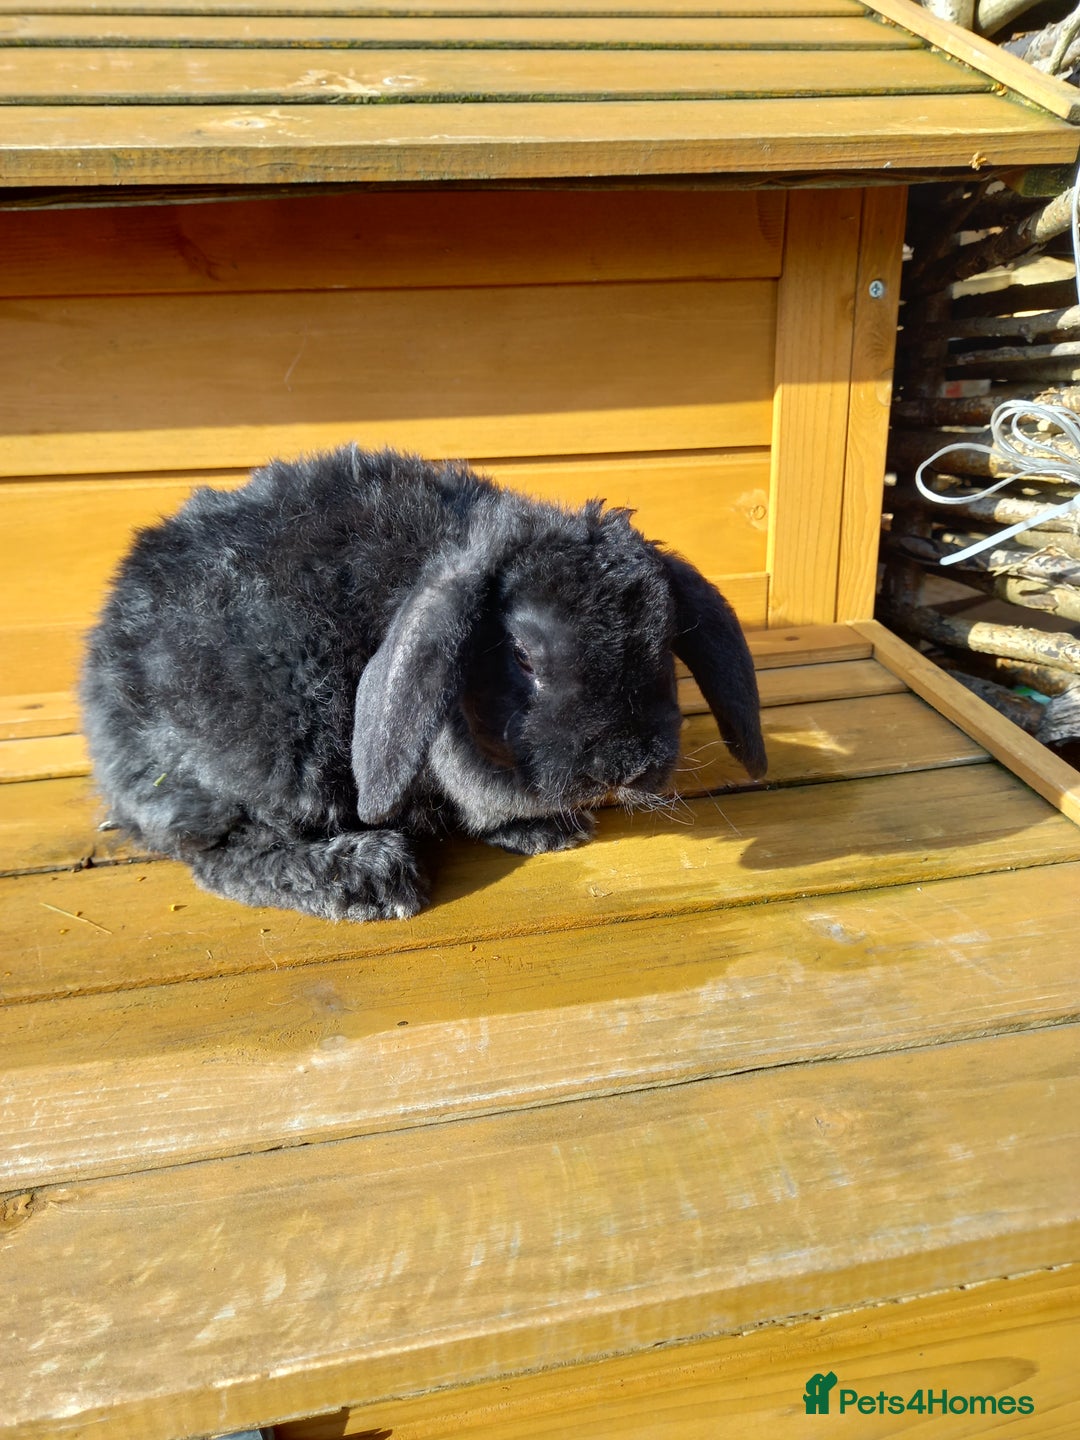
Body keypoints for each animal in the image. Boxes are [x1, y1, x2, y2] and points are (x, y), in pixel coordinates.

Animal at [81, 445, 767, 923]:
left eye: (664, 639)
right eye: (523, 655)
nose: (623, 765)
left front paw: (546, 830)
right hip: (268, 761)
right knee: (221, 854)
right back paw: (370, 879)